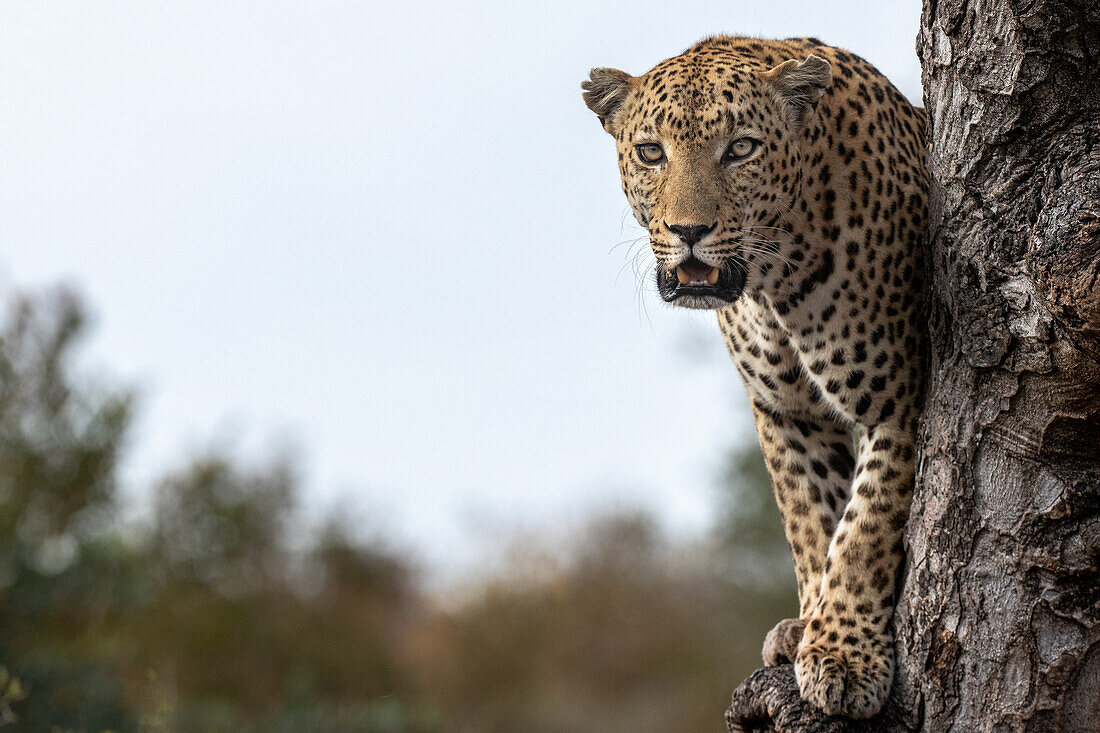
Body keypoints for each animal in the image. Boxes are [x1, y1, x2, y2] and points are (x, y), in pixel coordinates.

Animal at [585, 37, 928, 717]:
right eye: (651, 152)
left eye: (741, 148)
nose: (689, 232)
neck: (775, 283)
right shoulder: (784, 409)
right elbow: (811, 517)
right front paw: (807, 625)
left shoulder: (897, 395)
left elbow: (865, 526)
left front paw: (843, 655)